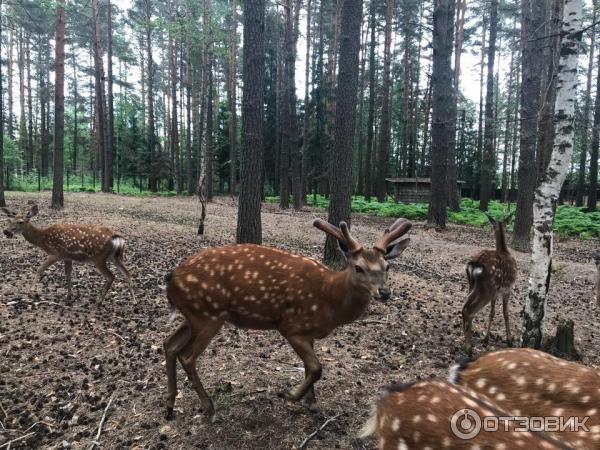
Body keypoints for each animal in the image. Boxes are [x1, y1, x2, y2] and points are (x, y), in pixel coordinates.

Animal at [1, 204, 134, 302]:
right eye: (10, 220)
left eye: (20, 222)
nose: (6, 231)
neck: (43, 239)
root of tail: (117, 238)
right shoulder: (67, 256)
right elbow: (68, 274)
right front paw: (69, 296)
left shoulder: (57, 253)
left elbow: (40, 269)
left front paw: (31, 291)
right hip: (115, 257)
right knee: (127, 273)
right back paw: (133, 301)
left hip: (99, 257)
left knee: (111, 276)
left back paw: (99, 301)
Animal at [162, 217, 410, 418]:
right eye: (358, 268)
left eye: (387, 266)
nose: (384, 292)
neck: (329, 300)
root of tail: (171, 278)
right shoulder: (291, 326)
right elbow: (316, 367)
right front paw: (291, 395)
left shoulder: (309, 332)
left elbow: (310, 367)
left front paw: (312, 403)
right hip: (208, 315)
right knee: (187, 357)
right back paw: (209, 408)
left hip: (194, 315)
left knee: (169, 344)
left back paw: (170, 406)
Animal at [462, 213, 516, 354]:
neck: (505, 250)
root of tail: (476, 263)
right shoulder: (507, 289)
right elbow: (505, 313)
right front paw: (509, 340)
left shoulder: (496, 293)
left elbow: (492, 312)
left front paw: (486, 339)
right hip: (488, 289)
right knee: (469, 310)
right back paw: (469, 348)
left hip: (474, 286)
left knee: (464, 307)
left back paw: (467, 342)